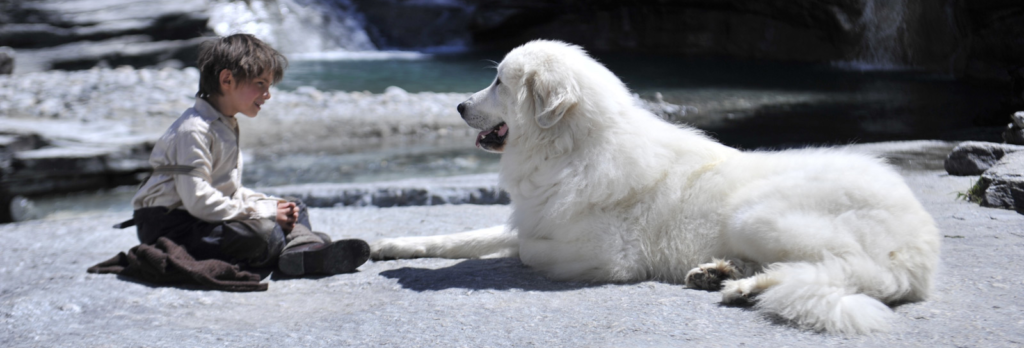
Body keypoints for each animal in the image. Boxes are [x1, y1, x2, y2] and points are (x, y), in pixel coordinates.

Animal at [372, 38, 937, 333]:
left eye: (497, 82)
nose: (457, 106)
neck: (570, 149)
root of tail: (920, 245)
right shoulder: (532, 214)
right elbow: (468, 237)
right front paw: (390, 247)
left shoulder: (603, 255)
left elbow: (526, 249)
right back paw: (723, 275)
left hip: (757, 215)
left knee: (845, 272)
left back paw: (744, 285)